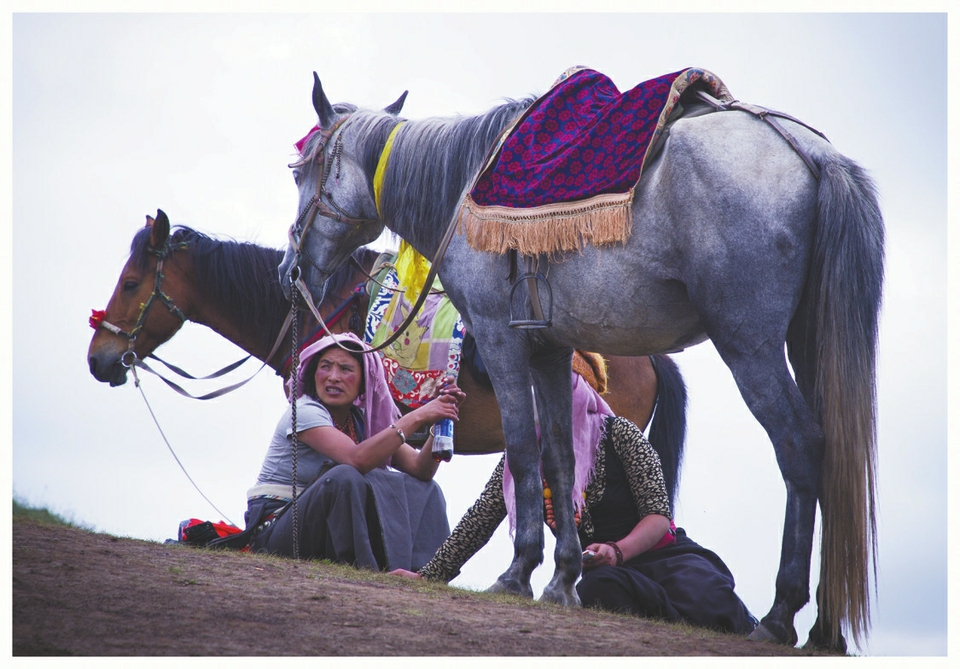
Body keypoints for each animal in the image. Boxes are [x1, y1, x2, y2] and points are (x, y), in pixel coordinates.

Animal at [278, 74, 884, 652]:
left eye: (301, 169)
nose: (292, 269)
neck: (463, 185)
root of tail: (812, 153)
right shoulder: (550, 351)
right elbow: (560, 457)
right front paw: (563, 578)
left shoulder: (499, 338)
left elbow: (523, 451)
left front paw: (518, 573)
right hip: (803, 342)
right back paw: (825, 627)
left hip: (749, 345)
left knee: (800, 446)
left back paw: (781, 615)